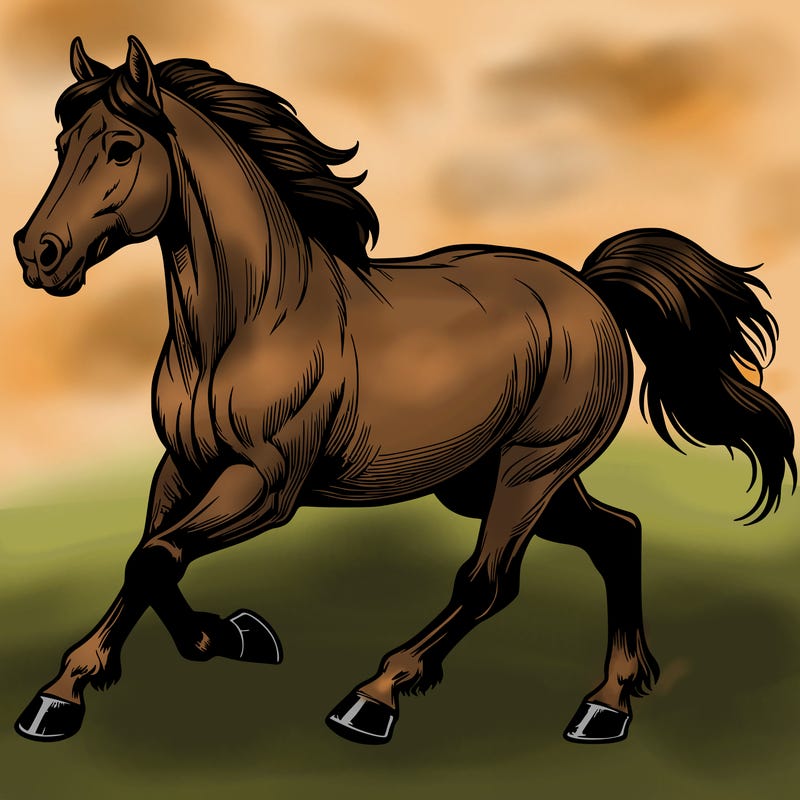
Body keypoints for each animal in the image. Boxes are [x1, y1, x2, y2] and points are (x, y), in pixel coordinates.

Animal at [13, 36, 795, 746]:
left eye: (121, 147)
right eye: (61, 143)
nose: (36, 253)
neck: (246, 324)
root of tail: (589, 288)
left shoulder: (267, 483)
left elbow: (155, 557)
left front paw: (198, 647)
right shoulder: (183, 466)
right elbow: (147, 557)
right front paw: (90, 683)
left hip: (533, 467)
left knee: (489, 580)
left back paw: (376, 696)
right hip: (487, 479)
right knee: (618, 534)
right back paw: (608, 703)